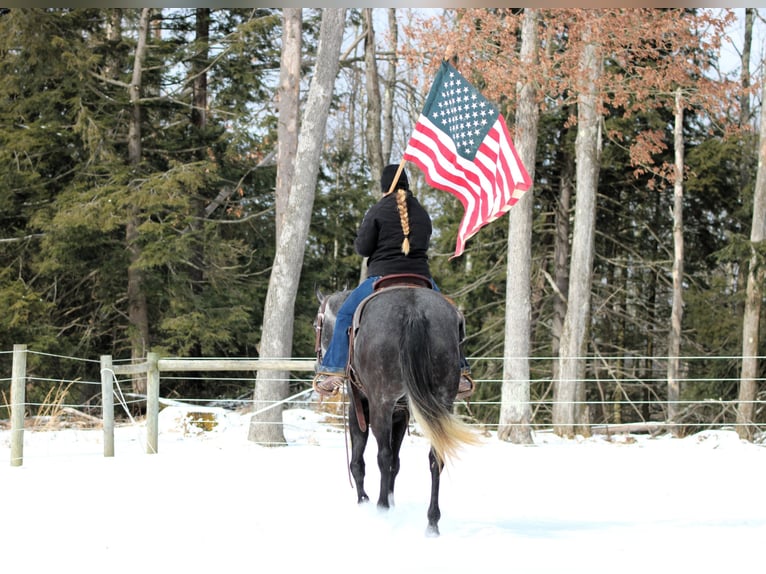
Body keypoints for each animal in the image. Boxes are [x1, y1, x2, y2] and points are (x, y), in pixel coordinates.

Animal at [316, 282, 476, 536]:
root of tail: (413, 311)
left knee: (383, 455)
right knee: (435, 457)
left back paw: (382, 509)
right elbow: (396, 462)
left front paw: (365, 500)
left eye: (316, 325)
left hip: (381, 403)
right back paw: (432, 522)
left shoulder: (359, 405)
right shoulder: (401, 413)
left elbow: (360, 460)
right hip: (441, 402)